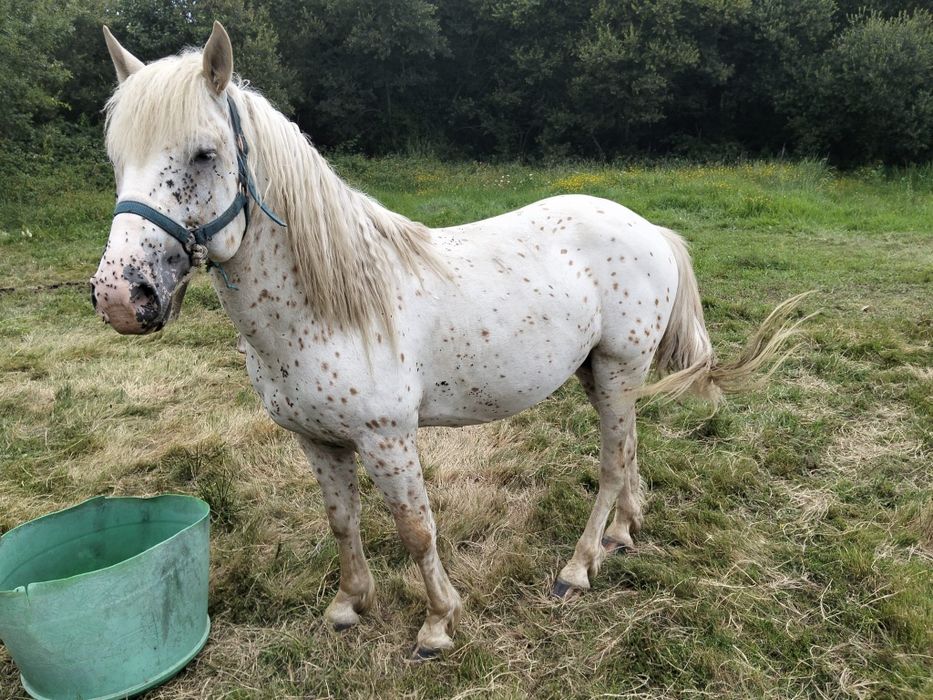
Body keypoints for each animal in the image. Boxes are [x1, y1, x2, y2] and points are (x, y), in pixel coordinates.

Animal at [91, 22, 808, 658]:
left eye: (204, 154)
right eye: (116, 159)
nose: (124, 297)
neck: (333, 303)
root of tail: (651, 229)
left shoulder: (388, 438)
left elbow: (415, 530)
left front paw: (437, 625)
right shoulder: (317, 440)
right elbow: (342, 521)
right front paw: (349, 606)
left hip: (617, 370)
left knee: (611, 464)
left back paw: (578, 568)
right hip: (599, 374)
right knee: (630, 454)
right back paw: (624, 536)